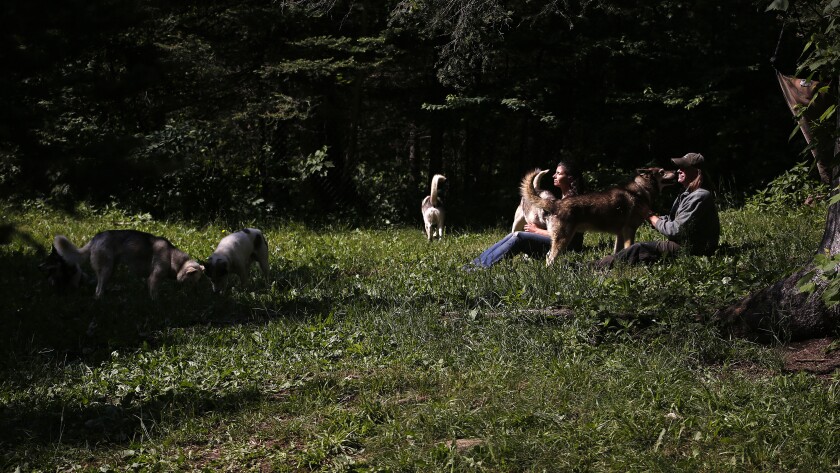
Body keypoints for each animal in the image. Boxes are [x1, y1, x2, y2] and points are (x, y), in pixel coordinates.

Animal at [53, 230, 203, 298]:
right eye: (192, 281)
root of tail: (96, 237)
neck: (172, 258)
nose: (197, 295)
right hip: (106, 269)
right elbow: (155, 296)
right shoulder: (153, 279)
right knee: (98, 291)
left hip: (110, 270)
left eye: (198, 283)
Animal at [520, 166, 680, 264]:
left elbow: (618, 253)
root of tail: (556, 203)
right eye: (662, 171)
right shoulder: (629, 230)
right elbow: (629, 247)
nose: (676, 171)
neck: (642, 189)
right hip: (562, 240)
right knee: (550, 258)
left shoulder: (620, 234)